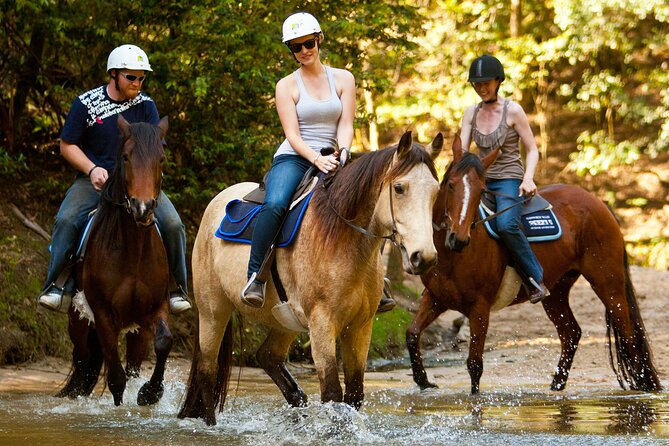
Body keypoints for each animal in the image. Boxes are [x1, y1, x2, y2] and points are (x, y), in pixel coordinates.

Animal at [56, 115, 173, 406]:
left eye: (161, 158)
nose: (142, 207)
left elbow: (164, 342)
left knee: (130, 365)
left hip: (136, 331)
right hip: (79, 321)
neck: (133, 250)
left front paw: (150, 393)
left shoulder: (155, 309)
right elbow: (116, 380)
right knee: (84, 361)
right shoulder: (103, 316)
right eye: (126, 157)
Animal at [178, 131, 443, 425]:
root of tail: (215, 204)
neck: (342, 239)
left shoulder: (360, 326)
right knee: (207, 370)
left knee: (267, 356)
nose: (424, 257)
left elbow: (354, 395)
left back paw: (298, 405)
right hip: (213, 311)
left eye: (435, 192)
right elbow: (333, 394)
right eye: (399, 188)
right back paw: (210, 424)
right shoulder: (322, 323)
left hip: (284, 320)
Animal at [407, 135, 662, 395]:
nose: (458, 239)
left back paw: (643, 385)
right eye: (450, 184)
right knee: (571, 333)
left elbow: (474, 364)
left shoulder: (480, 307)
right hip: (556, 292)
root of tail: (599, 203)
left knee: (628, 332)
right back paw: (556, 385)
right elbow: (412, 334)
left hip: (608, 283)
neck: (453, 256)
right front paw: (423, 380)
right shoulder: (435, 297)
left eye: (481, 191)